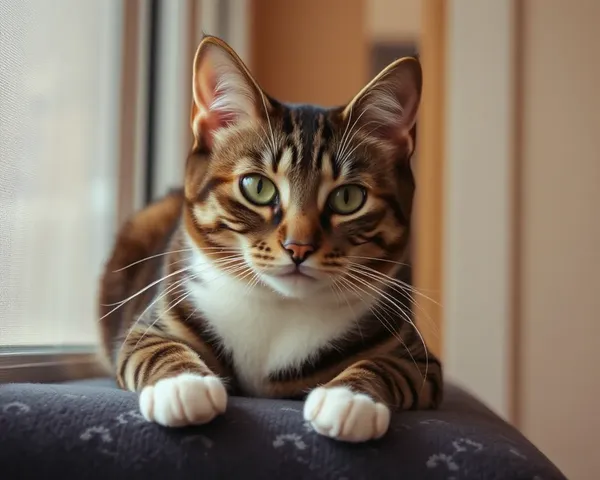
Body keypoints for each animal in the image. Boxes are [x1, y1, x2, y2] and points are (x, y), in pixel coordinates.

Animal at [98, 35, 442, 444]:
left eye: (348, 198)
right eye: (257, 187)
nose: (298, 247)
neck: (279, 306)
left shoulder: (420, 361)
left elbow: (386, 367)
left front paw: (349, 399)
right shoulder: (153, 321)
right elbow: (154, 347)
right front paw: (184, 386)